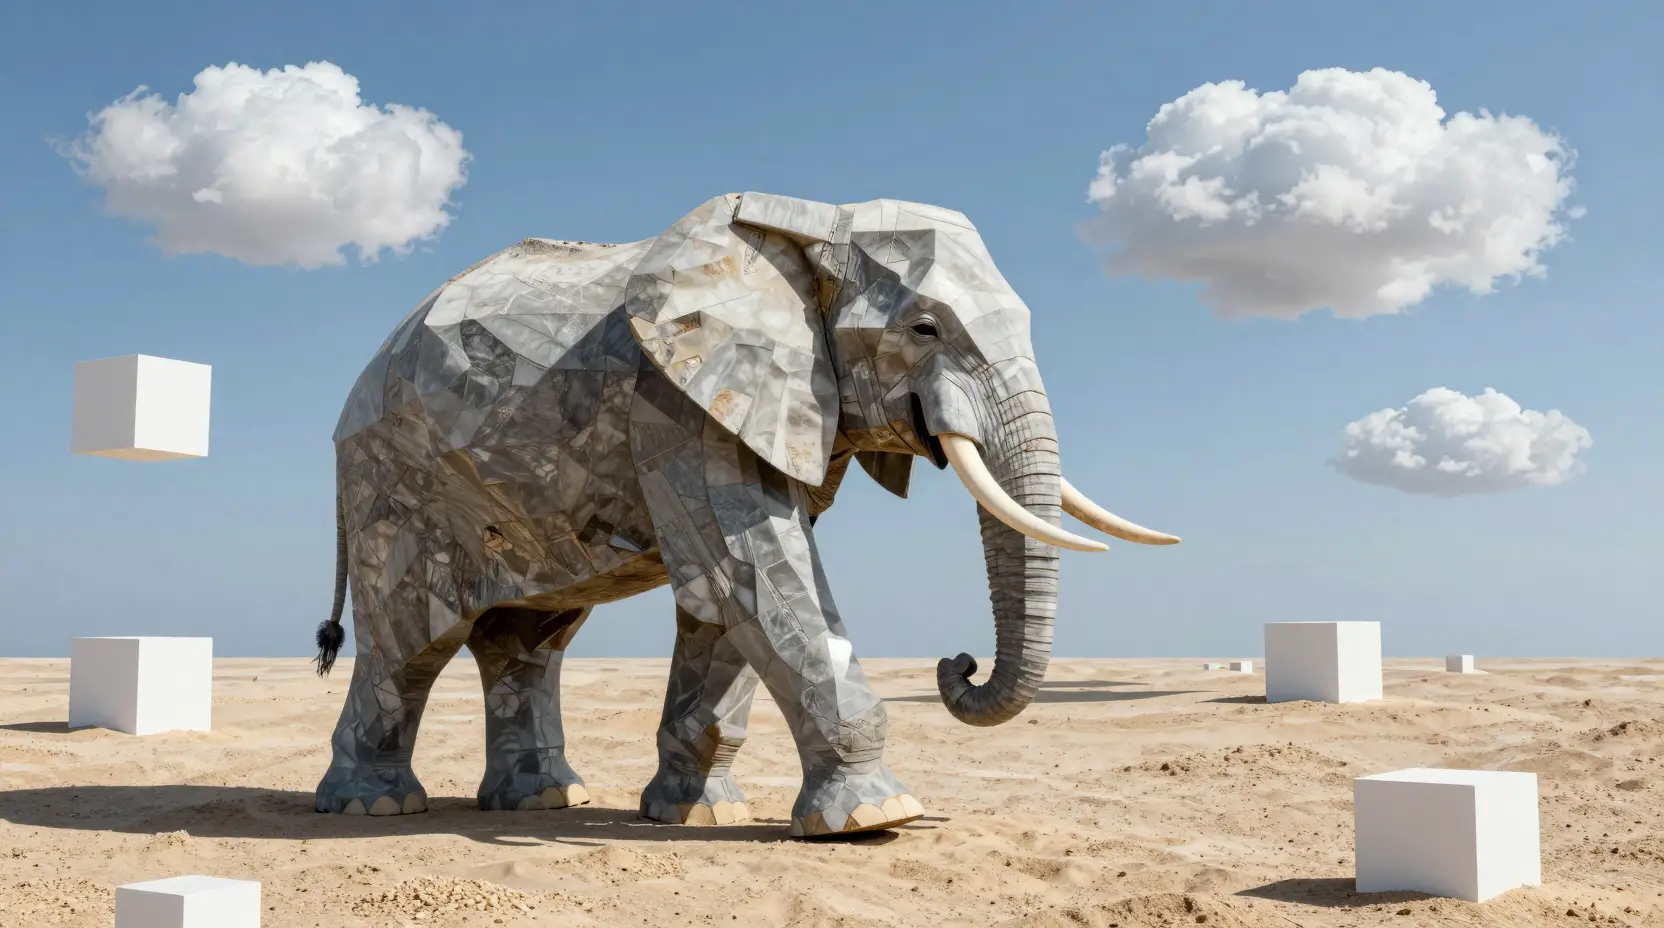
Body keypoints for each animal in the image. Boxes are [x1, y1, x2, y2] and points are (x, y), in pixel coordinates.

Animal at [310, 192, 1179, 837]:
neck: (814, 223)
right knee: (408, 644)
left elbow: (724, 601)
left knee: (527, 642)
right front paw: (879, 817)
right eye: (924, 328)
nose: (957, 662)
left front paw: (693, 815)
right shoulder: (675, 404)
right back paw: (374, 805)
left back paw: (542, 799)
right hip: (394, 487)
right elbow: (749, 565)